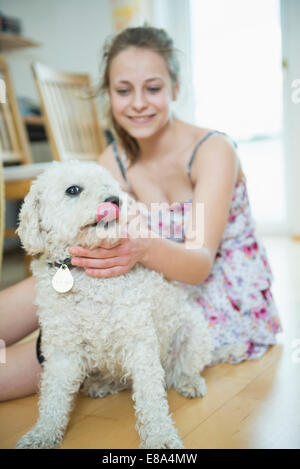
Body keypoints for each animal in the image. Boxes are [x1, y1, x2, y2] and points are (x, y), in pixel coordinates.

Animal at [14, 160, 211, 450]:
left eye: (110, 185)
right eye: (73, 190)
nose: (114, 200)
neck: (84, 277)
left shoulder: (140, 342)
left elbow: (151, 399)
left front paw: (160, 437)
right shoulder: (61, 351)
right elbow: (52, 399)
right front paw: (41, 434)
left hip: (193, 332)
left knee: (183, 369)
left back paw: (190, 382)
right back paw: (101, 384)